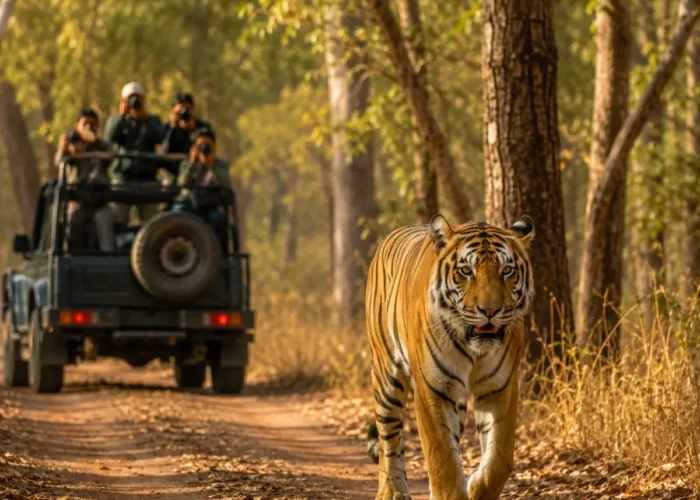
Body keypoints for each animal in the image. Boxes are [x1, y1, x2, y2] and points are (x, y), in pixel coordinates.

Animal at [365, 214, 534, 500]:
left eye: (507, 271)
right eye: (466, 271)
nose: (490, 310)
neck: (475, 348)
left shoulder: (500, 387)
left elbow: (498, 460)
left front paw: (475, 487)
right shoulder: (432, 388)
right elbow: (441, 456)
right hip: (386, 376)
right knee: (389, 438)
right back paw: (392, 491)